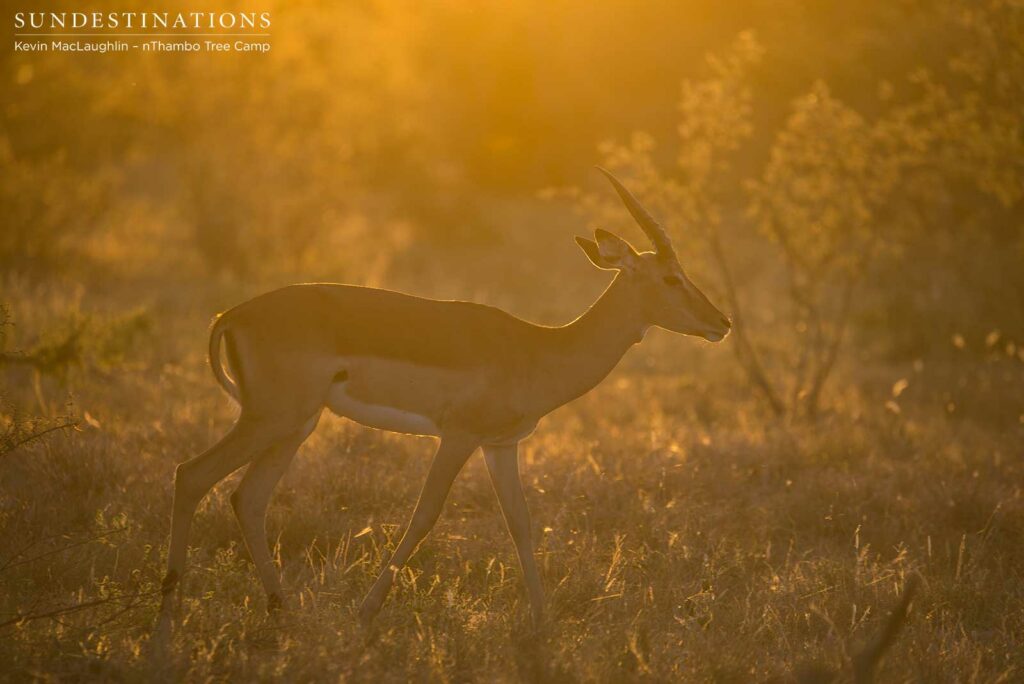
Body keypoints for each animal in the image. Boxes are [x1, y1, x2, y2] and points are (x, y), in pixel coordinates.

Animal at [154, 169, 731, 638]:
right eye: (671, 277)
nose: (721, 322)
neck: (538, 349)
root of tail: (233, 314)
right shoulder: (458, 436)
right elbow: (424, 515)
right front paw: (365, 614)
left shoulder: (501, 446)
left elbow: (520, 523)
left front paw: (542, 624)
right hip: (269, 418)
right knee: (192, 474)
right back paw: (167, 616)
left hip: (294, 426)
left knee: (247, 497)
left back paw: (281, 611)